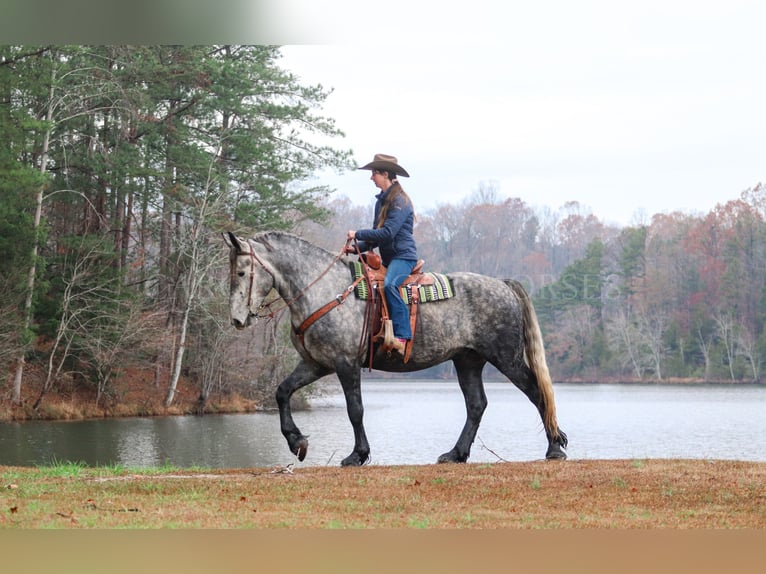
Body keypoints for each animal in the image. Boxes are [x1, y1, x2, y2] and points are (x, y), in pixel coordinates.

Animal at [225, 231, 568, 468]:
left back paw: (554, 448)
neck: (326, 291)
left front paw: (357, 455)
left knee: (536, 392)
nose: (238, 319)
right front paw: (297, 443)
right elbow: (282, 392)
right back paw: (455, 453)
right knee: (476, 405)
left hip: (506, 358)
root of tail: (502, 284)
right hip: (467, 361)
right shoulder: (317, 363)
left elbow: (355, 409)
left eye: (241, 272)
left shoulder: (345, 364)